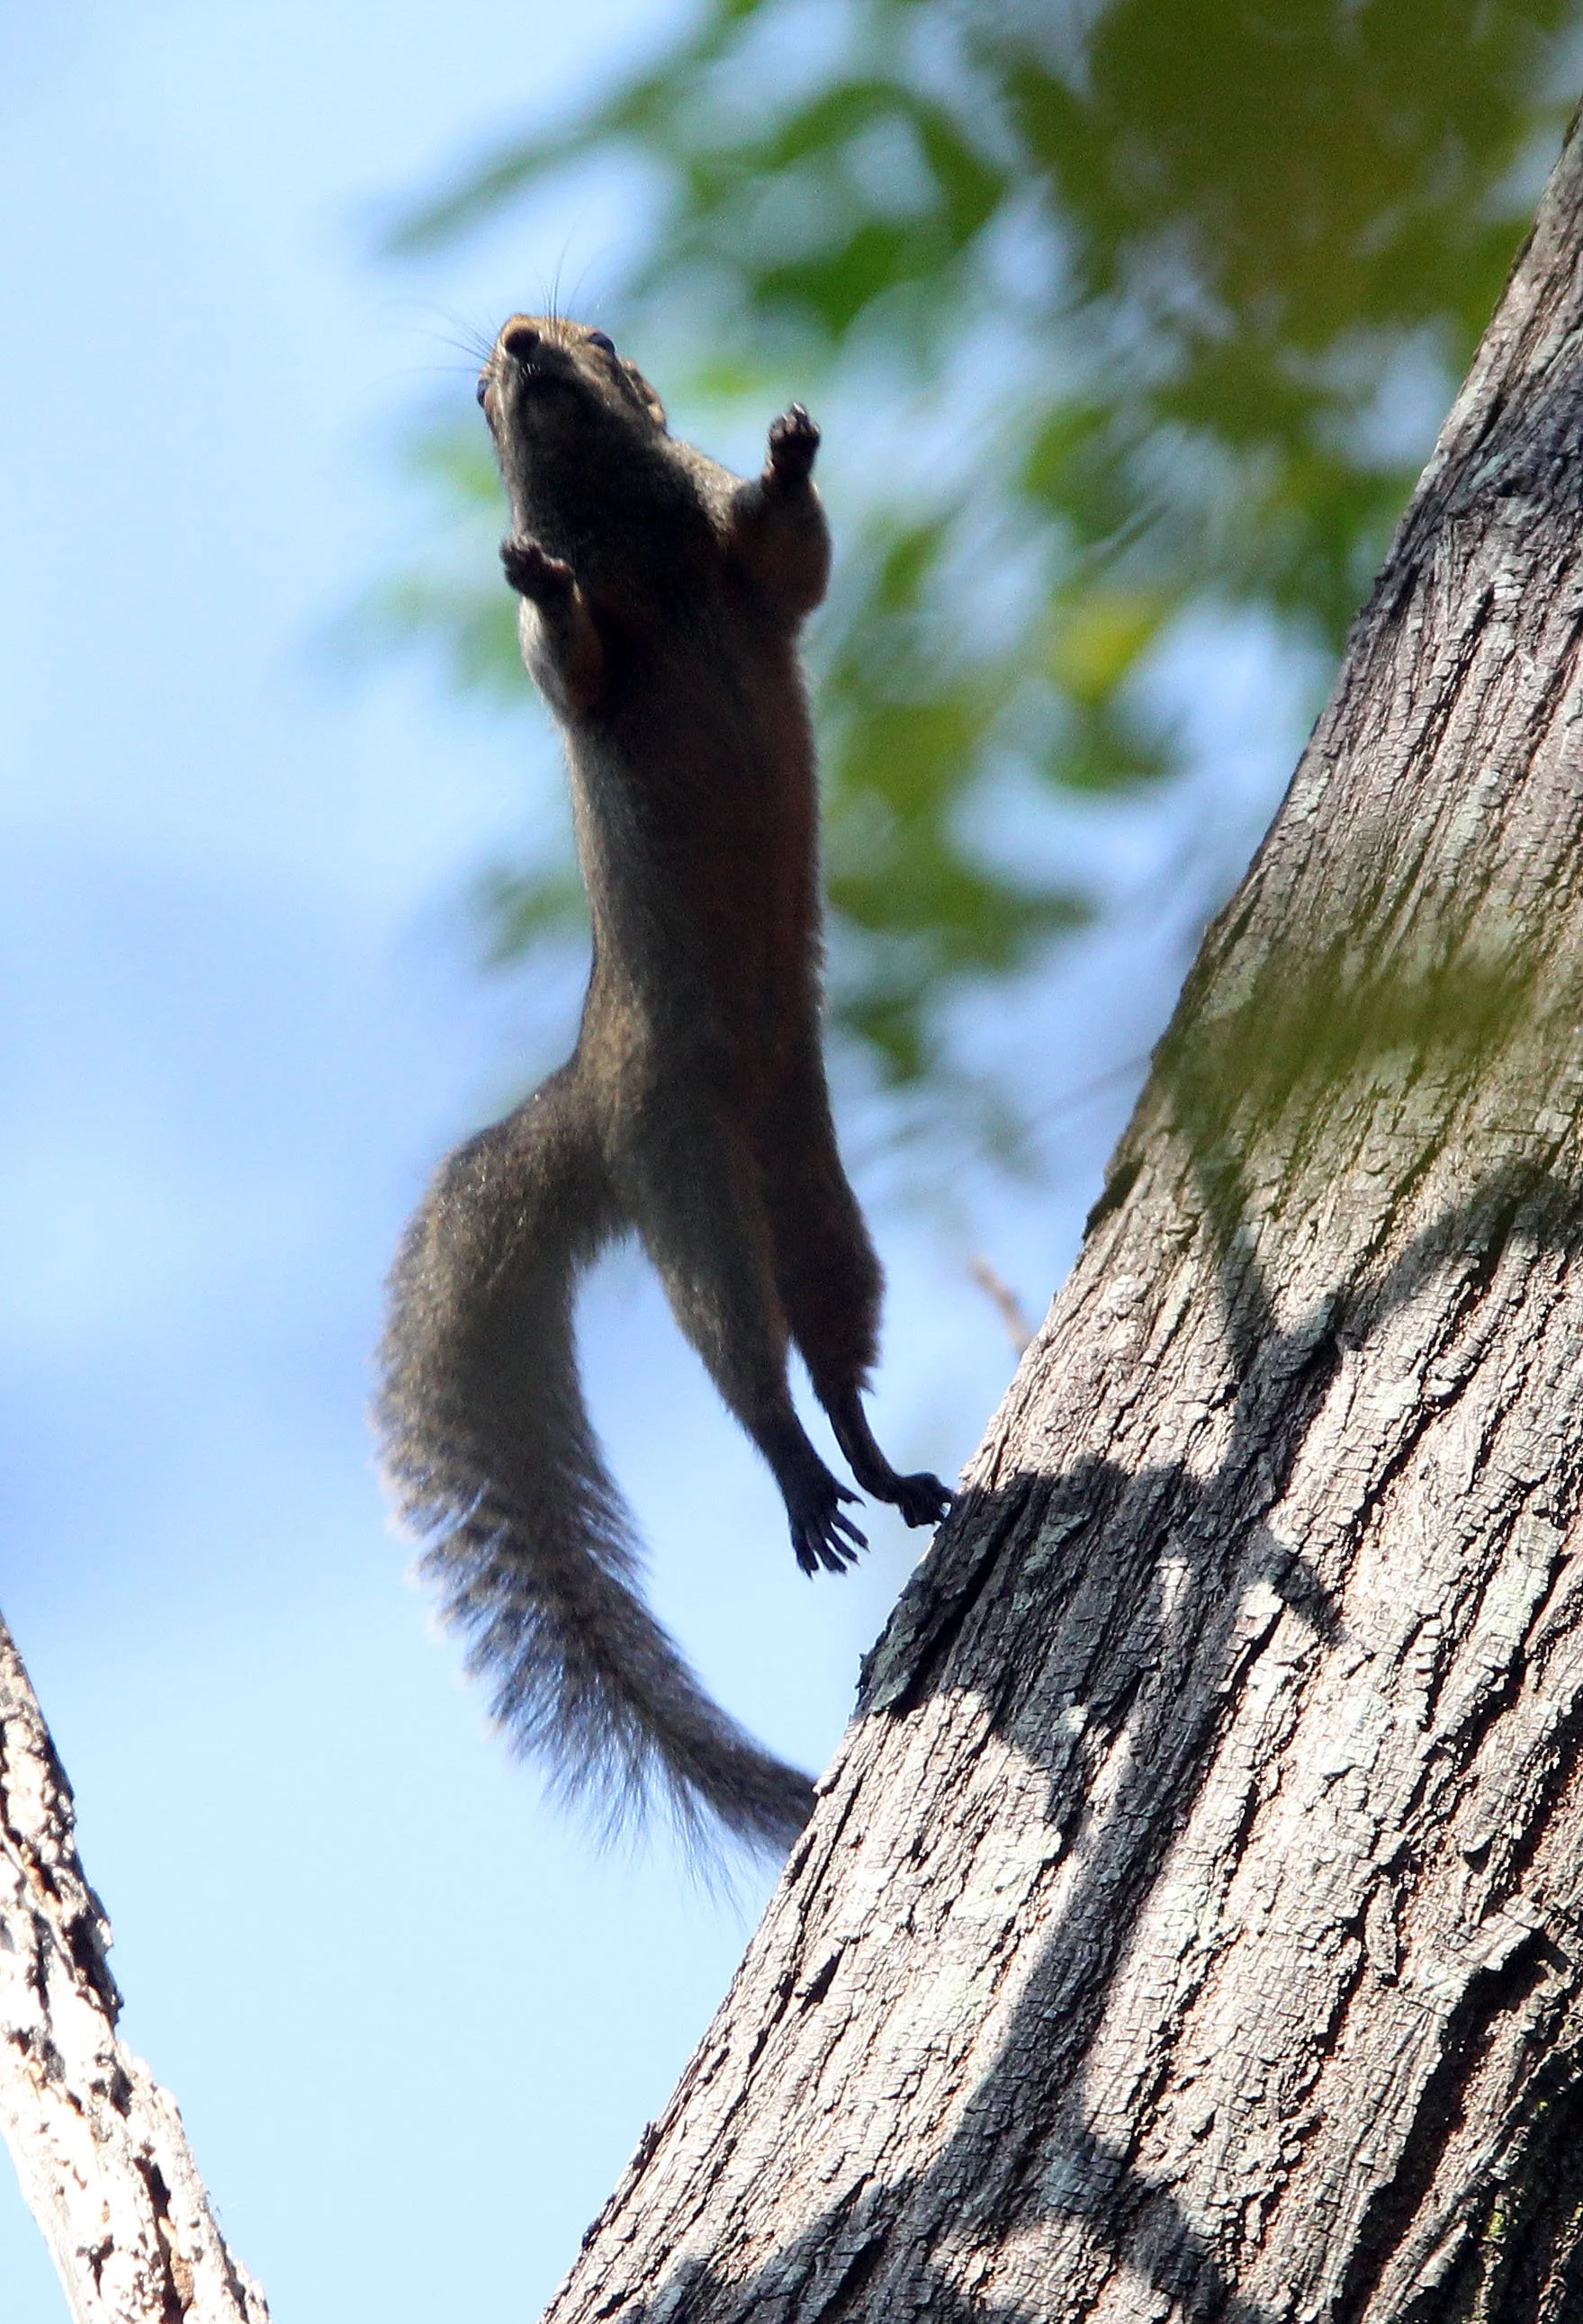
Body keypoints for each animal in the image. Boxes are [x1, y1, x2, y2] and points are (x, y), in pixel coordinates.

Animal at [375, 313, 953, 1860]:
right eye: (483, 383)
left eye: (599, 337)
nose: (522, 340)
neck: (625, 527)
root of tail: (587, 1097)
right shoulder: (584, 659)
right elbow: (569, 660)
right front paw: (532, 573)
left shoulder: (739, 562)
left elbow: (795, 556)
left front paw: (792, 447)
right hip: (683, 1174)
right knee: (742, 1362)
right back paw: (803, 1485)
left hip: (809, 1177)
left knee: (829, 1341)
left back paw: (879, 1468)